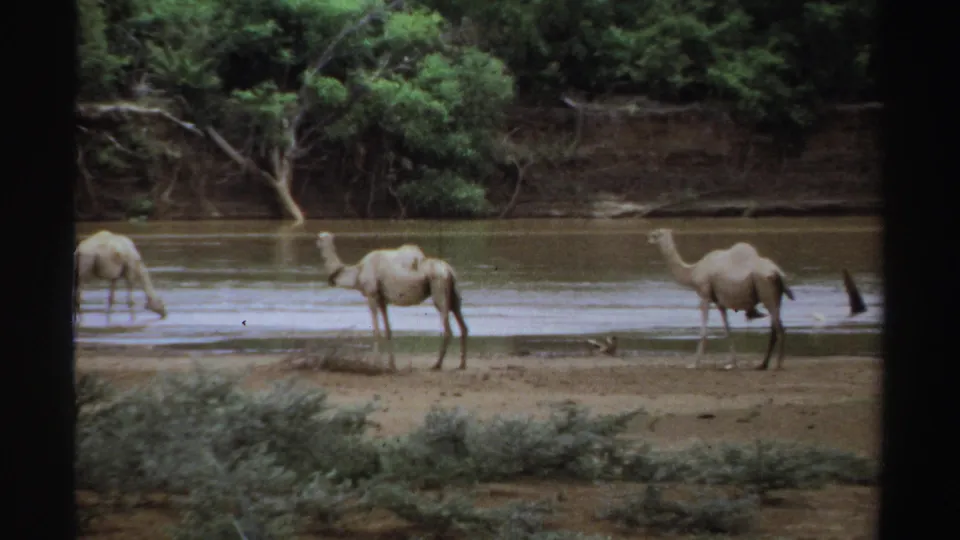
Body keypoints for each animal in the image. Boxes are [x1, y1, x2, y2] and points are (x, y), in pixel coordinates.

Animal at [315, 232, 468, 371]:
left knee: (447, 329)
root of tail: (449, 270)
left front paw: (374, 364)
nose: (316, 242)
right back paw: (461, 364)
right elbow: (388, 330)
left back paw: (437, 365)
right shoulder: (382, 299)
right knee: (463, 325)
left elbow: (376, 331)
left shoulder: (371, 295)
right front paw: (391, 365)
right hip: (453, 295)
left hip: (438, 288)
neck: (357, 273)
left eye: (320, 238)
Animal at [647, 228, 794, 370]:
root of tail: (777, 273)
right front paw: (732, 363)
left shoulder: (704, 294)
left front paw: (694, 364)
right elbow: (727, 330)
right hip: (776, 295)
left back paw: (776, 365)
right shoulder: (719, 302)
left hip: (766, 290)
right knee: (776, 327)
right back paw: (763, 364)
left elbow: (704, 331)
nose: (648, 238)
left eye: (656, 234)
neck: (693, 272)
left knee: (778, 328)